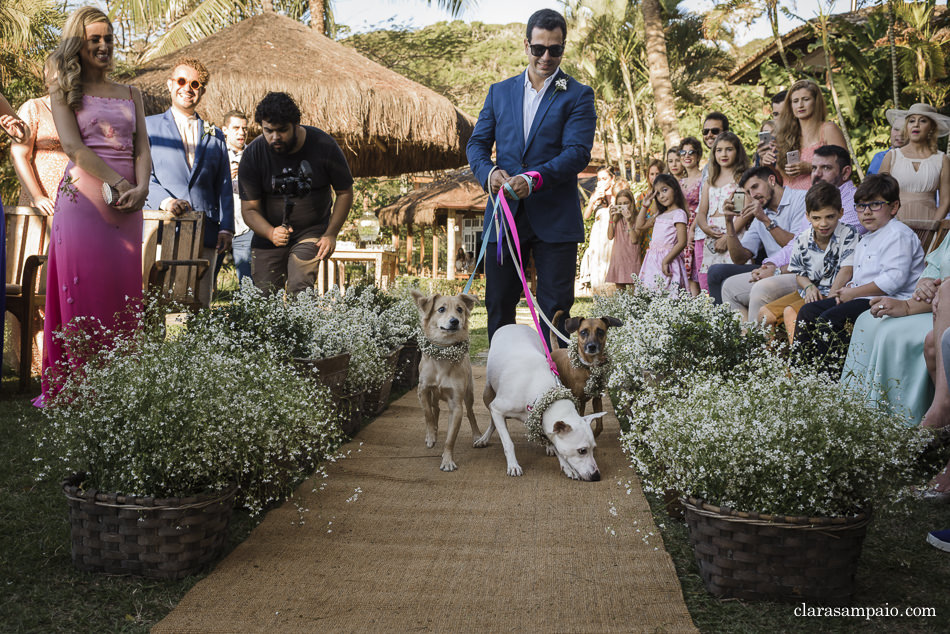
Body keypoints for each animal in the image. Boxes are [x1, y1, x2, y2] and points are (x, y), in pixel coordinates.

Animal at [410, 288, 484, 470]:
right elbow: (428, 413)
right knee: (435, 408)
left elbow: (451, 438)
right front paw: (431, 435)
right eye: (441, 309)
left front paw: (447, 460)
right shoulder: (423, 390)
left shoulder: (456, 405)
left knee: (471, 413)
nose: (454, 321)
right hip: (433, 394)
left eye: (460, 309)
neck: (443, 352)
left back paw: (477, 435)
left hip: (469, 394)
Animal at [480, 324, 608, 476]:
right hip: (487, 395)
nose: (596, 476)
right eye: (582, 451)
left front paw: (566, 466)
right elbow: (507, 442)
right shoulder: (497, 408)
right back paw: (483, 439)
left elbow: (554, 443)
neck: (540, 392)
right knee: (493, 421)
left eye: (593, 448)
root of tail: (514, 325)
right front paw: (513, 465)